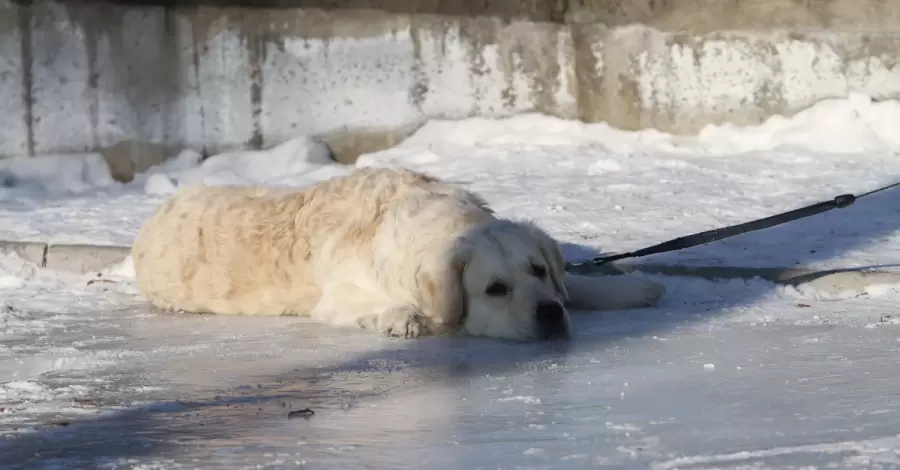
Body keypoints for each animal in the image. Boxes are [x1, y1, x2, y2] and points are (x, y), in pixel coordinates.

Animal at [130, 167, 664, 340]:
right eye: (495, 289)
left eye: (536, 270)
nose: (550, 316)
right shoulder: (338, 294)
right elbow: (373, 304)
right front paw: (401, 317)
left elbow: (574, 281)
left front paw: (633, 285)